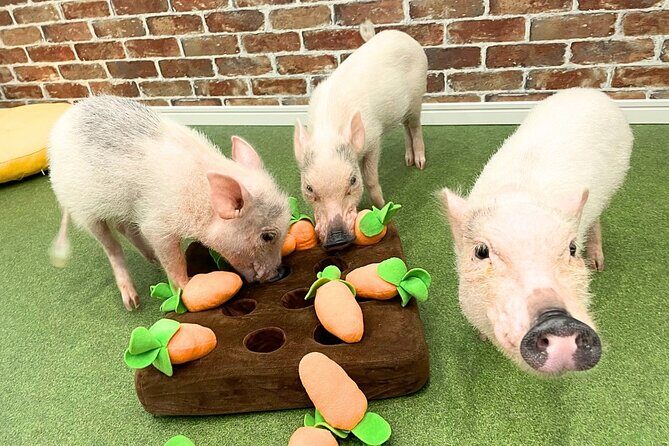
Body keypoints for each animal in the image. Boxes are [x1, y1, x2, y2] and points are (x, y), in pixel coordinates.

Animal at [48, 96, 290, 310]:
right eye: (267, 236)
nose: (279, 274)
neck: (201, 201)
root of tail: (64, 120)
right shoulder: (157, 226)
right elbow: (174, 260)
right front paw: (186, 288)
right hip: (85, 211)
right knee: (112, 245)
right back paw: (133, 303)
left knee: (124, 227)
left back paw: (153, 261)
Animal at [293, 26, 428, 250]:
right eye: (308, 188)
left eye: (353, 180)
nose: (337, 239)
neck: (329, 133)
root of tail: (403, 35)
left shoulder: (373, 140)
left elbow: (372, 179)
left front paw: (382, 206)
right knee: (406, 127)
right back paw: (408, 160)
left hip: (418, 96)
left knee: (415, 126)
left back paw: (419, 164)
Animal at [439, 88, 633, 374]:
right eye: (481, 251)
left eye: (572, 249)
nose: (557, 321)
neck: (518, 196)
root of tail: (592, 92)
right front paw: (481, 338)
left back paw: (598, 265)